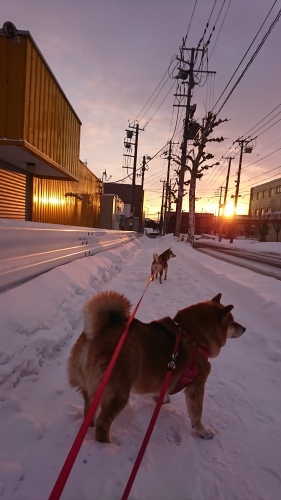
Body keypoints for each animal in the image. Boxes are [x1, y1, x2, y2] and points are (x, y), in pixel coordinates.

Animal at [66, 292, 244, 444]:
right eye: (232, 322)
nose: (244, 328)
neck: (193, 337)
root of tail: (96, 333)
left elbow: (162, 390)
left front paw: (162, 398)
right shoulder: (197, 386)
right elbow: (196, 413)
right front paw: (203, 431)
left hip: (93, 391)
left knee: (89, 413)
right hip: (118, 393)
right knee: (103, 425)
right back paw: (106, 446)